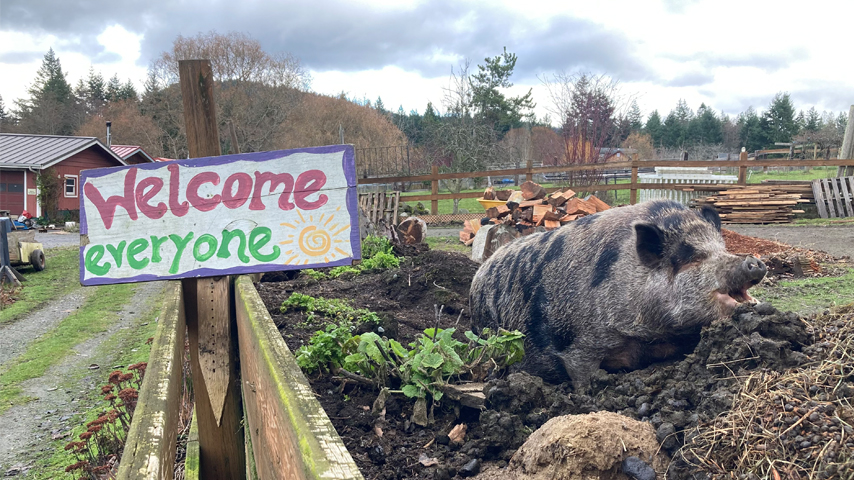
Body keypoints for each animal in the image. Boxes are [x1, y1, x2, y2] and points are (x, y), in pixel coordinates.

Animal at [468, 199, 768, 390]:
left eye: (722, 248)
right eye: (692, 257)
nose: (755, 261)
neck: (648, 335)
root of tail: (479, 274)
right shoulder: (579, 346)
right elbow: (582, 377)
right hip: (488, 338)